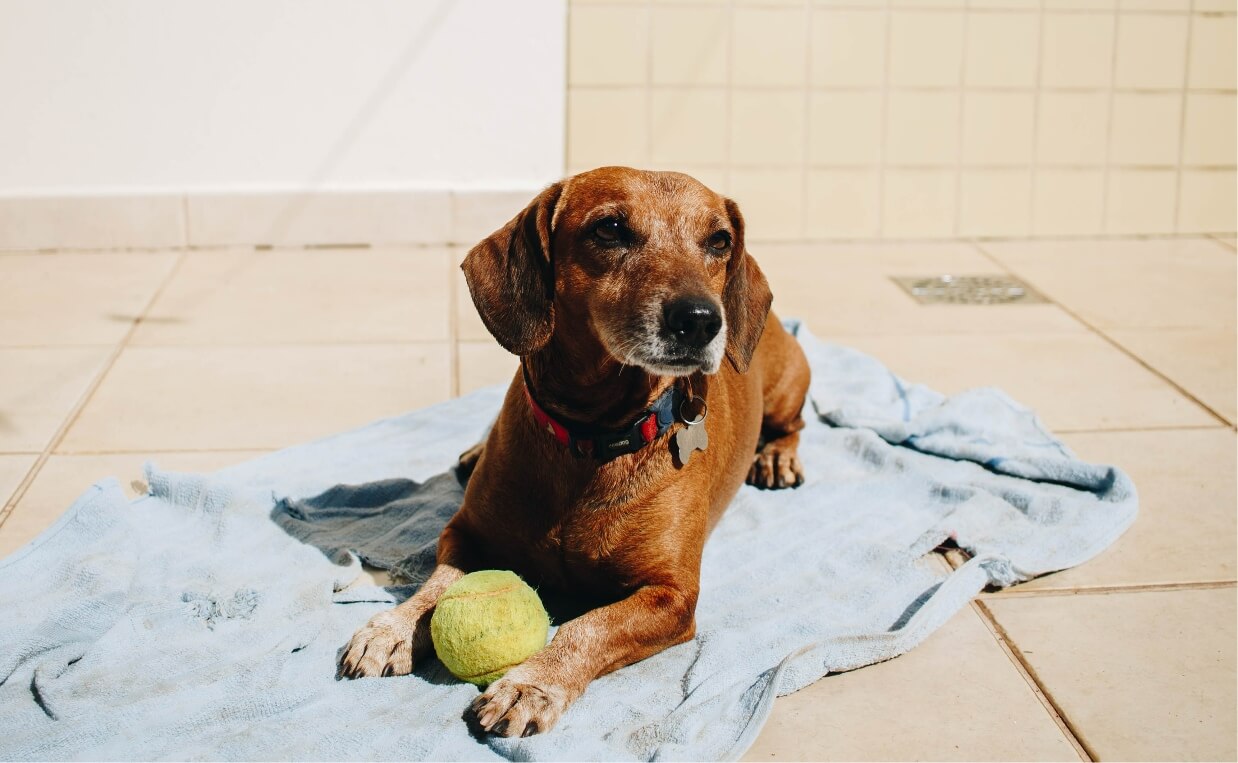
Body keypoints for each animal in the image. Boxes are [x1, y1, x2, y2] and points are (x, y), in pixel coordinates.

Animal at [341, 165, 812, 733]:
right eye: (609, 229)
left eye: (719, 241)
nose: (702, 319)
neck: (591, 437)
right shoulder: (463, 532)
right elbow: (439, 584)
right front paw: (392, 627)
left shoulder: (672, 596)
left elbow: (588, 627)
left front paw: (531, 684)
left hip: (788, 388)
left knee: (795, 423)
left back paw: (777, 457)